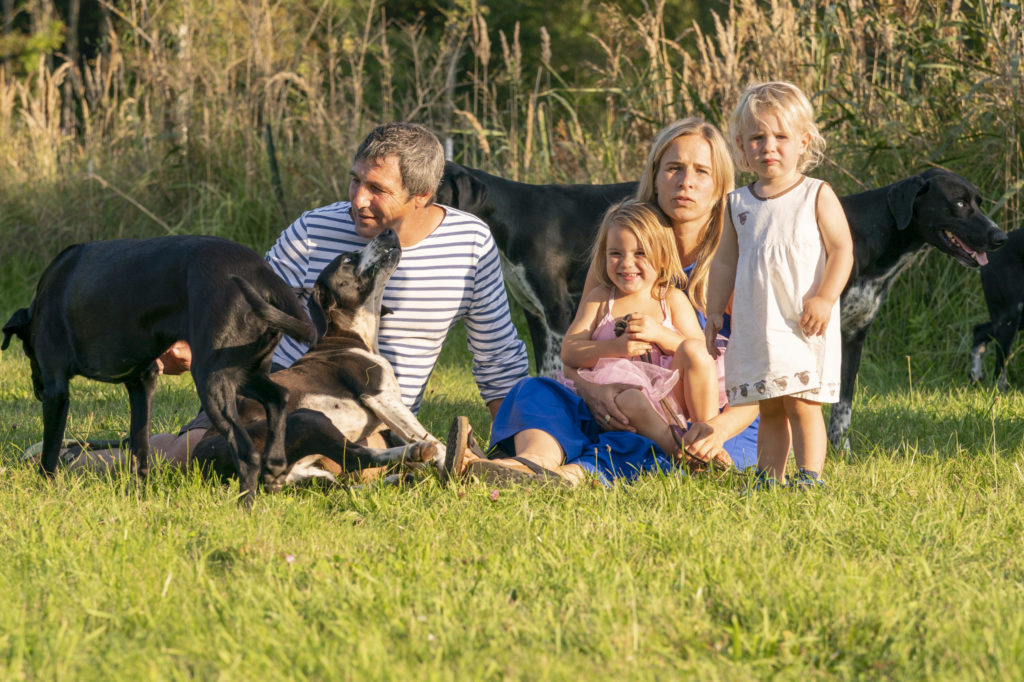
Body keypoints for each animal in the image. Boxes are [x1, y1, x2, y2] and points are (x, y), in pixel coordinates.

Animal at [191, 228, 444, 483]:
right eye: (347, 260)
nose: (388, 231)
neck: (349, 335)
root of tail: (201, 460)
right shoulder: (378, 396)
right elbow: (427, 435)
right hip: (307, 418)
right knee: (356, 457)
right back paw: (415, 453)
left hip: (312, 471)